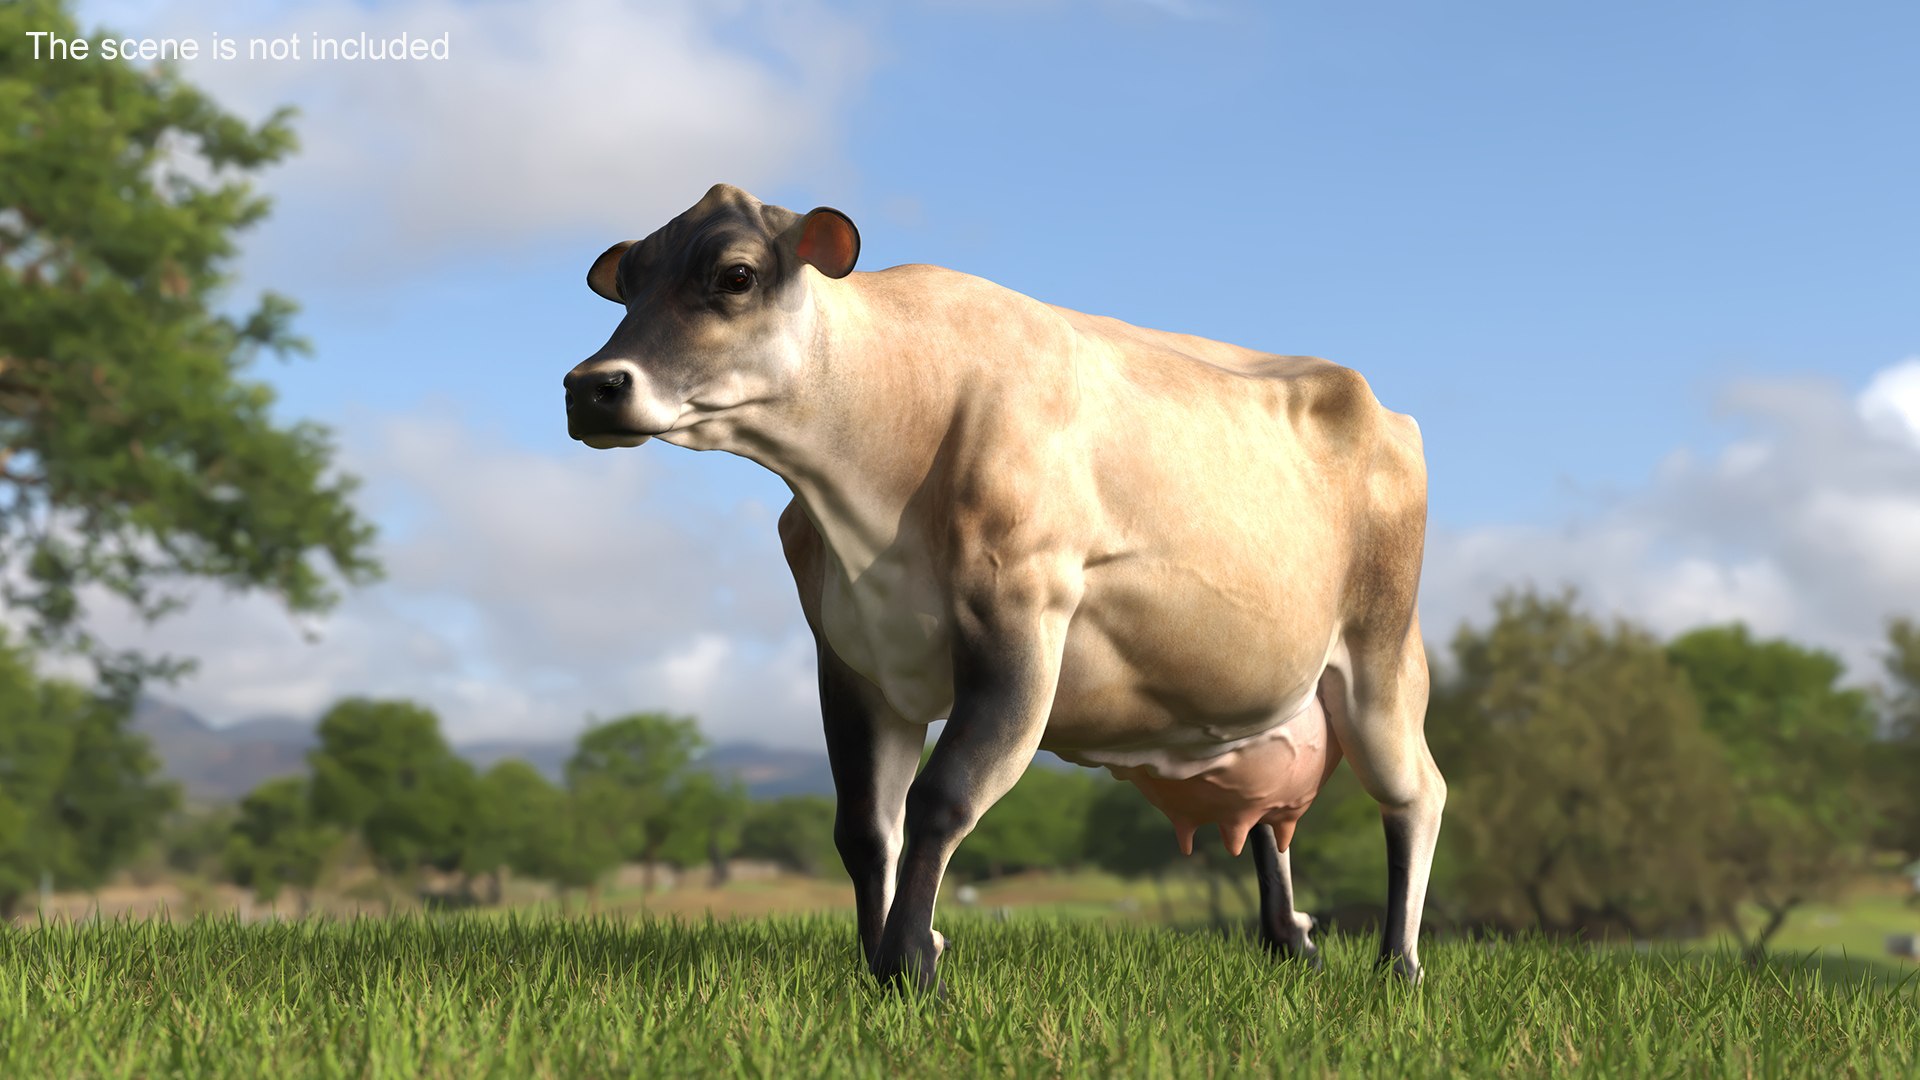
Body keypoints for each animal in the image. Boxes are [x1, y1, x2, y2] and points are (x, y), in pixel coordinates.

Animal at [564, 184, 1444, 993]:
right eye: (627, 284)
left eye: (736, 275)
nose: (588, 386)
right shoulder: (849, 658)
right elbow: (865, 828)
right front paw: (878, 961)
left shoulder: (1019, 618)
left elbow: (942, 798)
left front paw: (910, 965)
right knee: (1269, 821)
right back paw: (1290, 942)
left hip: (1382, 653)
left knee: (1417, 796)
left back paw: (1397, 967)